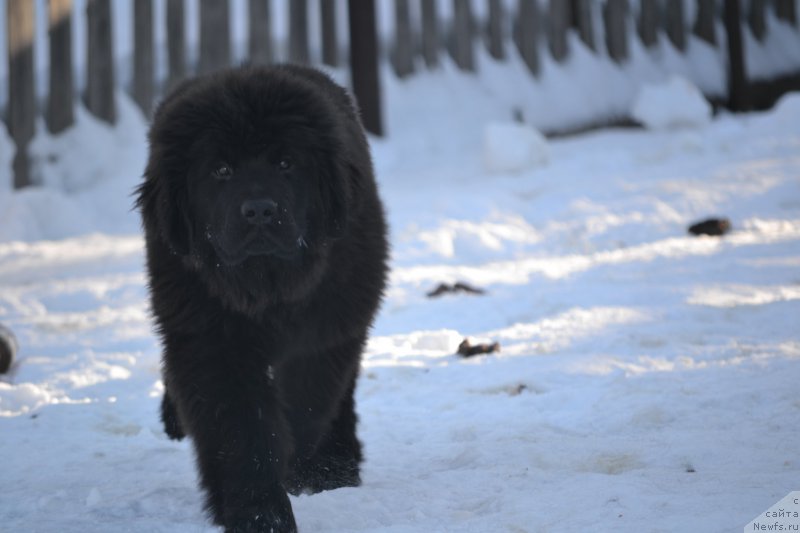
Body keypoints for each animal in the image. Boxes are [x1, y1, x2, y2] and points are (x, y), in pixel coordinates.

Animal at [135, 66, 390, 532]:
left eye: (286, 163)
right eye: (220, 170)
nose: (258, 210)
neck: (266, 286)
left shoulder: (325, 331)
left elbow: (306, 404)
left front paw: (301, 472)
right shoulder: (209, 339)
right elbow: (241, 428)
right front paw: (259, 513)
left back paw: (337, 465)